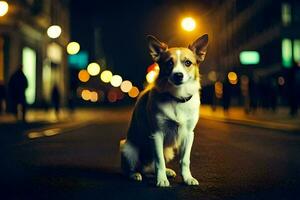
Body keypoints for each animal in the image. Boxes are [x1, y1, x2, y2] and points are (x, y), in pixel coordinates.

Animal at [119, 34, 209, 186]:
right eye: (169, 63)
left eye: (188, 63)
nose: (178, 75)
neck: (177, 97)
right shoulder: (157, 134)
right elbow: (159, 160)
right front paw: (161, 180)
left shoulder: (189, 134)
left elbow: (185, 160)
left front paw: (187, 178)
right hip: (127, 148)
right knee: (131, 169)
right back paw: (136, 174)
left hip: (168, 151)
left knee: (150, 168)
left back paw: (166, 171)